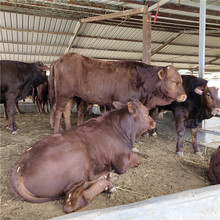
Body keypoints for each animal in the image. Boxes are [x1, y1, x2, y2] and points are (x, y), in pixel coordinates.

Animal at [9, 99, 155, 213]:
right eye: (147, 111)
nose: (154, 122)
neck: (124, 130)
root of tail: (19, 167)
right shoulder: (121, 161)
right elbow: (137, 159)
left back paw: (107, 177)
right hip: (79, 159)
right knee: (72, 202)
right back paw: (107, 183)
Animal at [49, 52, 186, 133]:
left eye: (181, 81)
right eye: (174, 81)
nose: (184, 96)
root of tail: (60, 59)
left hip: (72, 96)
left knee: (66, 111)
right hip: (62, 94)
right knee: (58, 111)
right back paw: (56, 131)